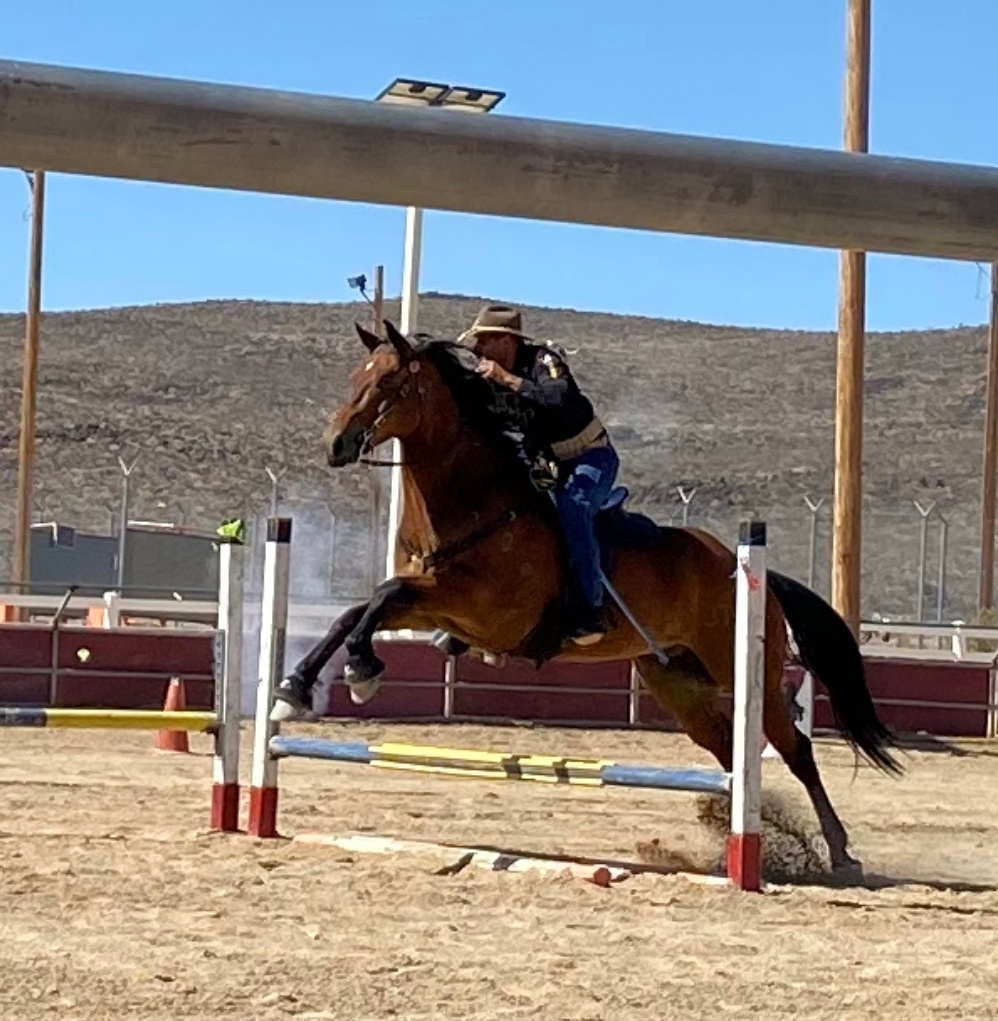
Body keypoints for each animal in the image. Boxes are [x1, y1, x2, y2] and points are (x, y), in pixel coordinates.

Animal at [273, 316, 903, 878]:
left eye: (388, 382)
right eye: (356, 375)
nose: (335, 444)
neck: (474, 503)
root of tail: (748, 569)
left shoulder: (481, 611)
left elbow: (381, 595)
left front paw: (360, 671)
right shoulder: (440, 605)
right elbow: (358, 609)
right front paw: (295, 688)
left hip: (748, 672)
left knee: (794, 748)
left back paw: (837, 851)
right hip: (676, 680)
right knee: (730, 751)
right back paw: (748, 834)